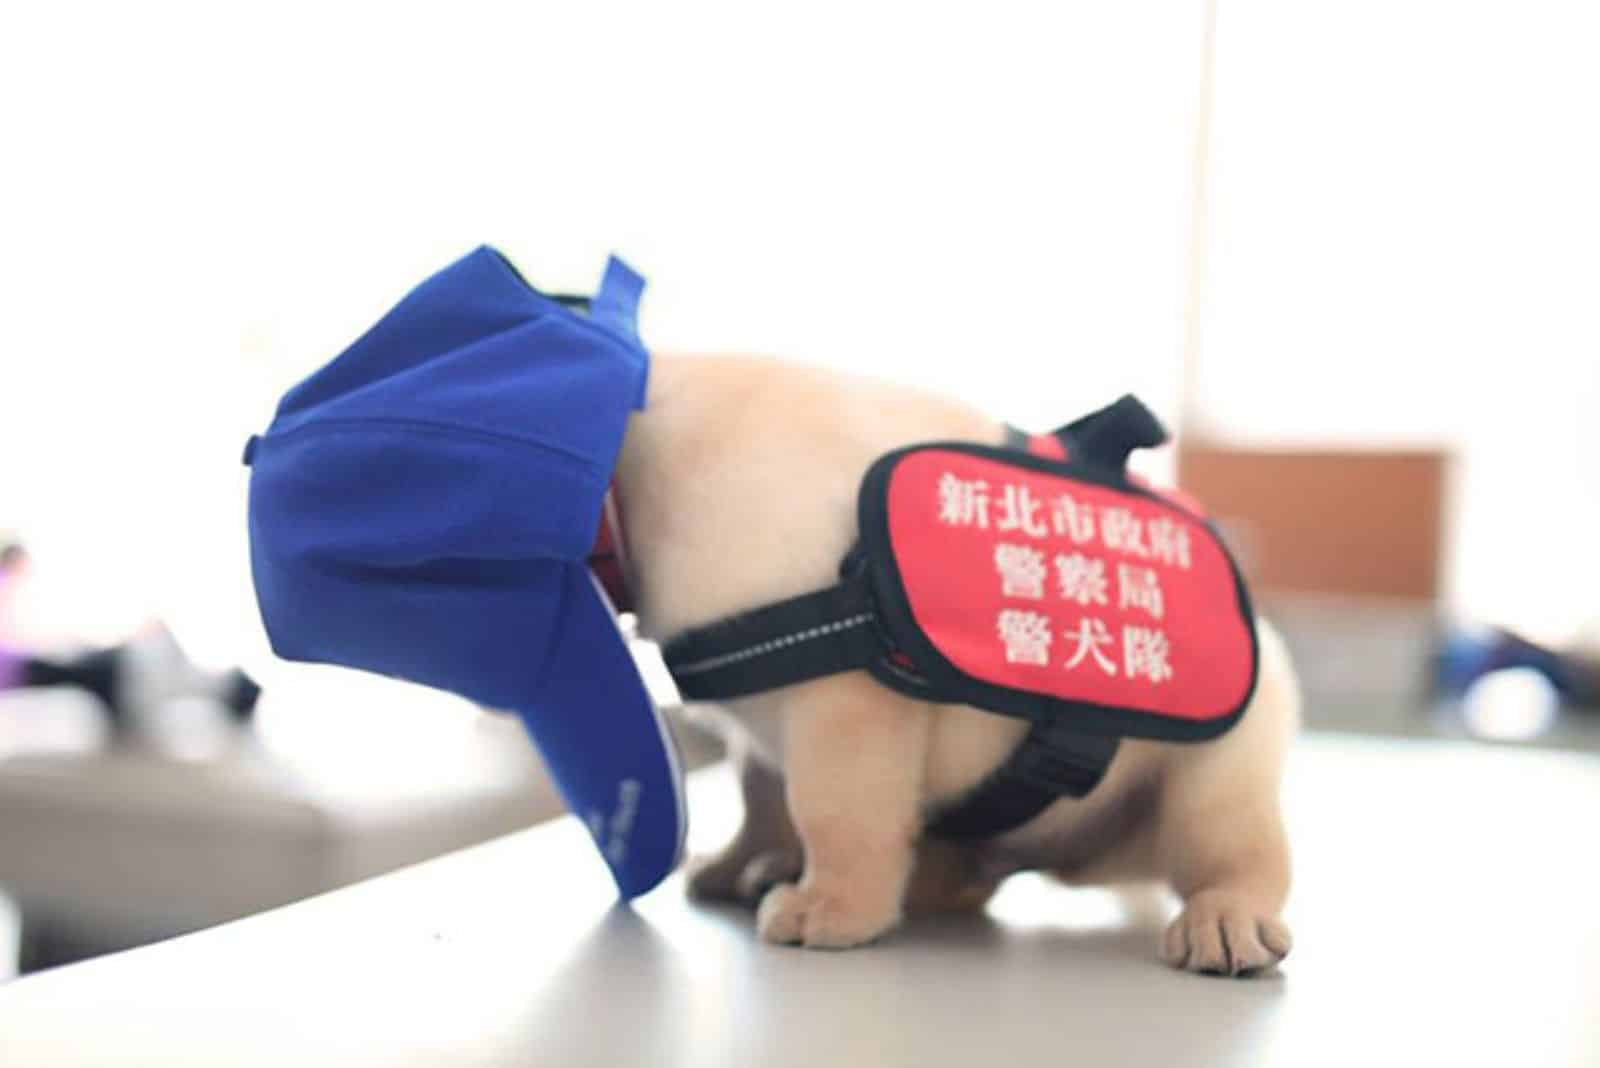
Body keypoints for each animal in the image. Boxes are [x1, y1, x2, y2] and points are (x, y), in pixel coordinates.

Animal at [614, 351, 1299, 978]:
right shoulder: (761, 717)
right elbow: (759, 799)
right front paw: (734, 863)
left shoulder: (843, 707)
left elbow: (835, 813)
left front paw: (836, 908)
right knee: (961, 876)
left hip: (1219, 780)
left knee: (1240, 853)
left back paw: (1226, 915)